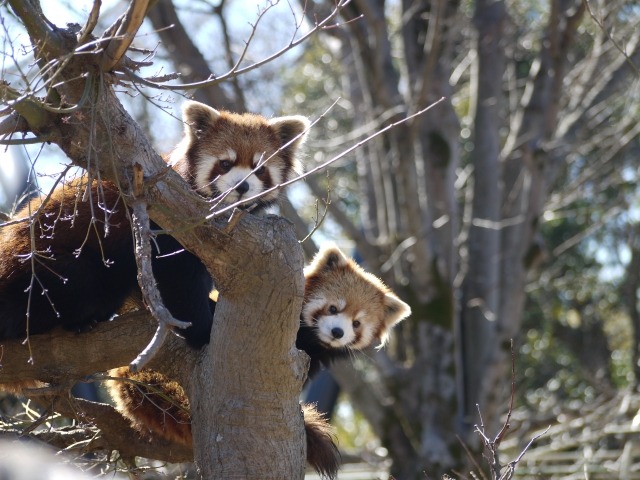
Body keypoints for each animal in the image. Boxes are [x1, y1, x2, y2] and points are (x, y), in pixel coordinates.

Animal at [0, 101, 308, 348]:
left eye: (259, 168)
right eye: (225, 164)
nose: (242, 187)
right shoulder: (169, 226)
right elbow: (179, 282)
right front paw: (201, 331)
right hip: (44, 264)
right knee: (77, 280)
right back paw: (80, 319)